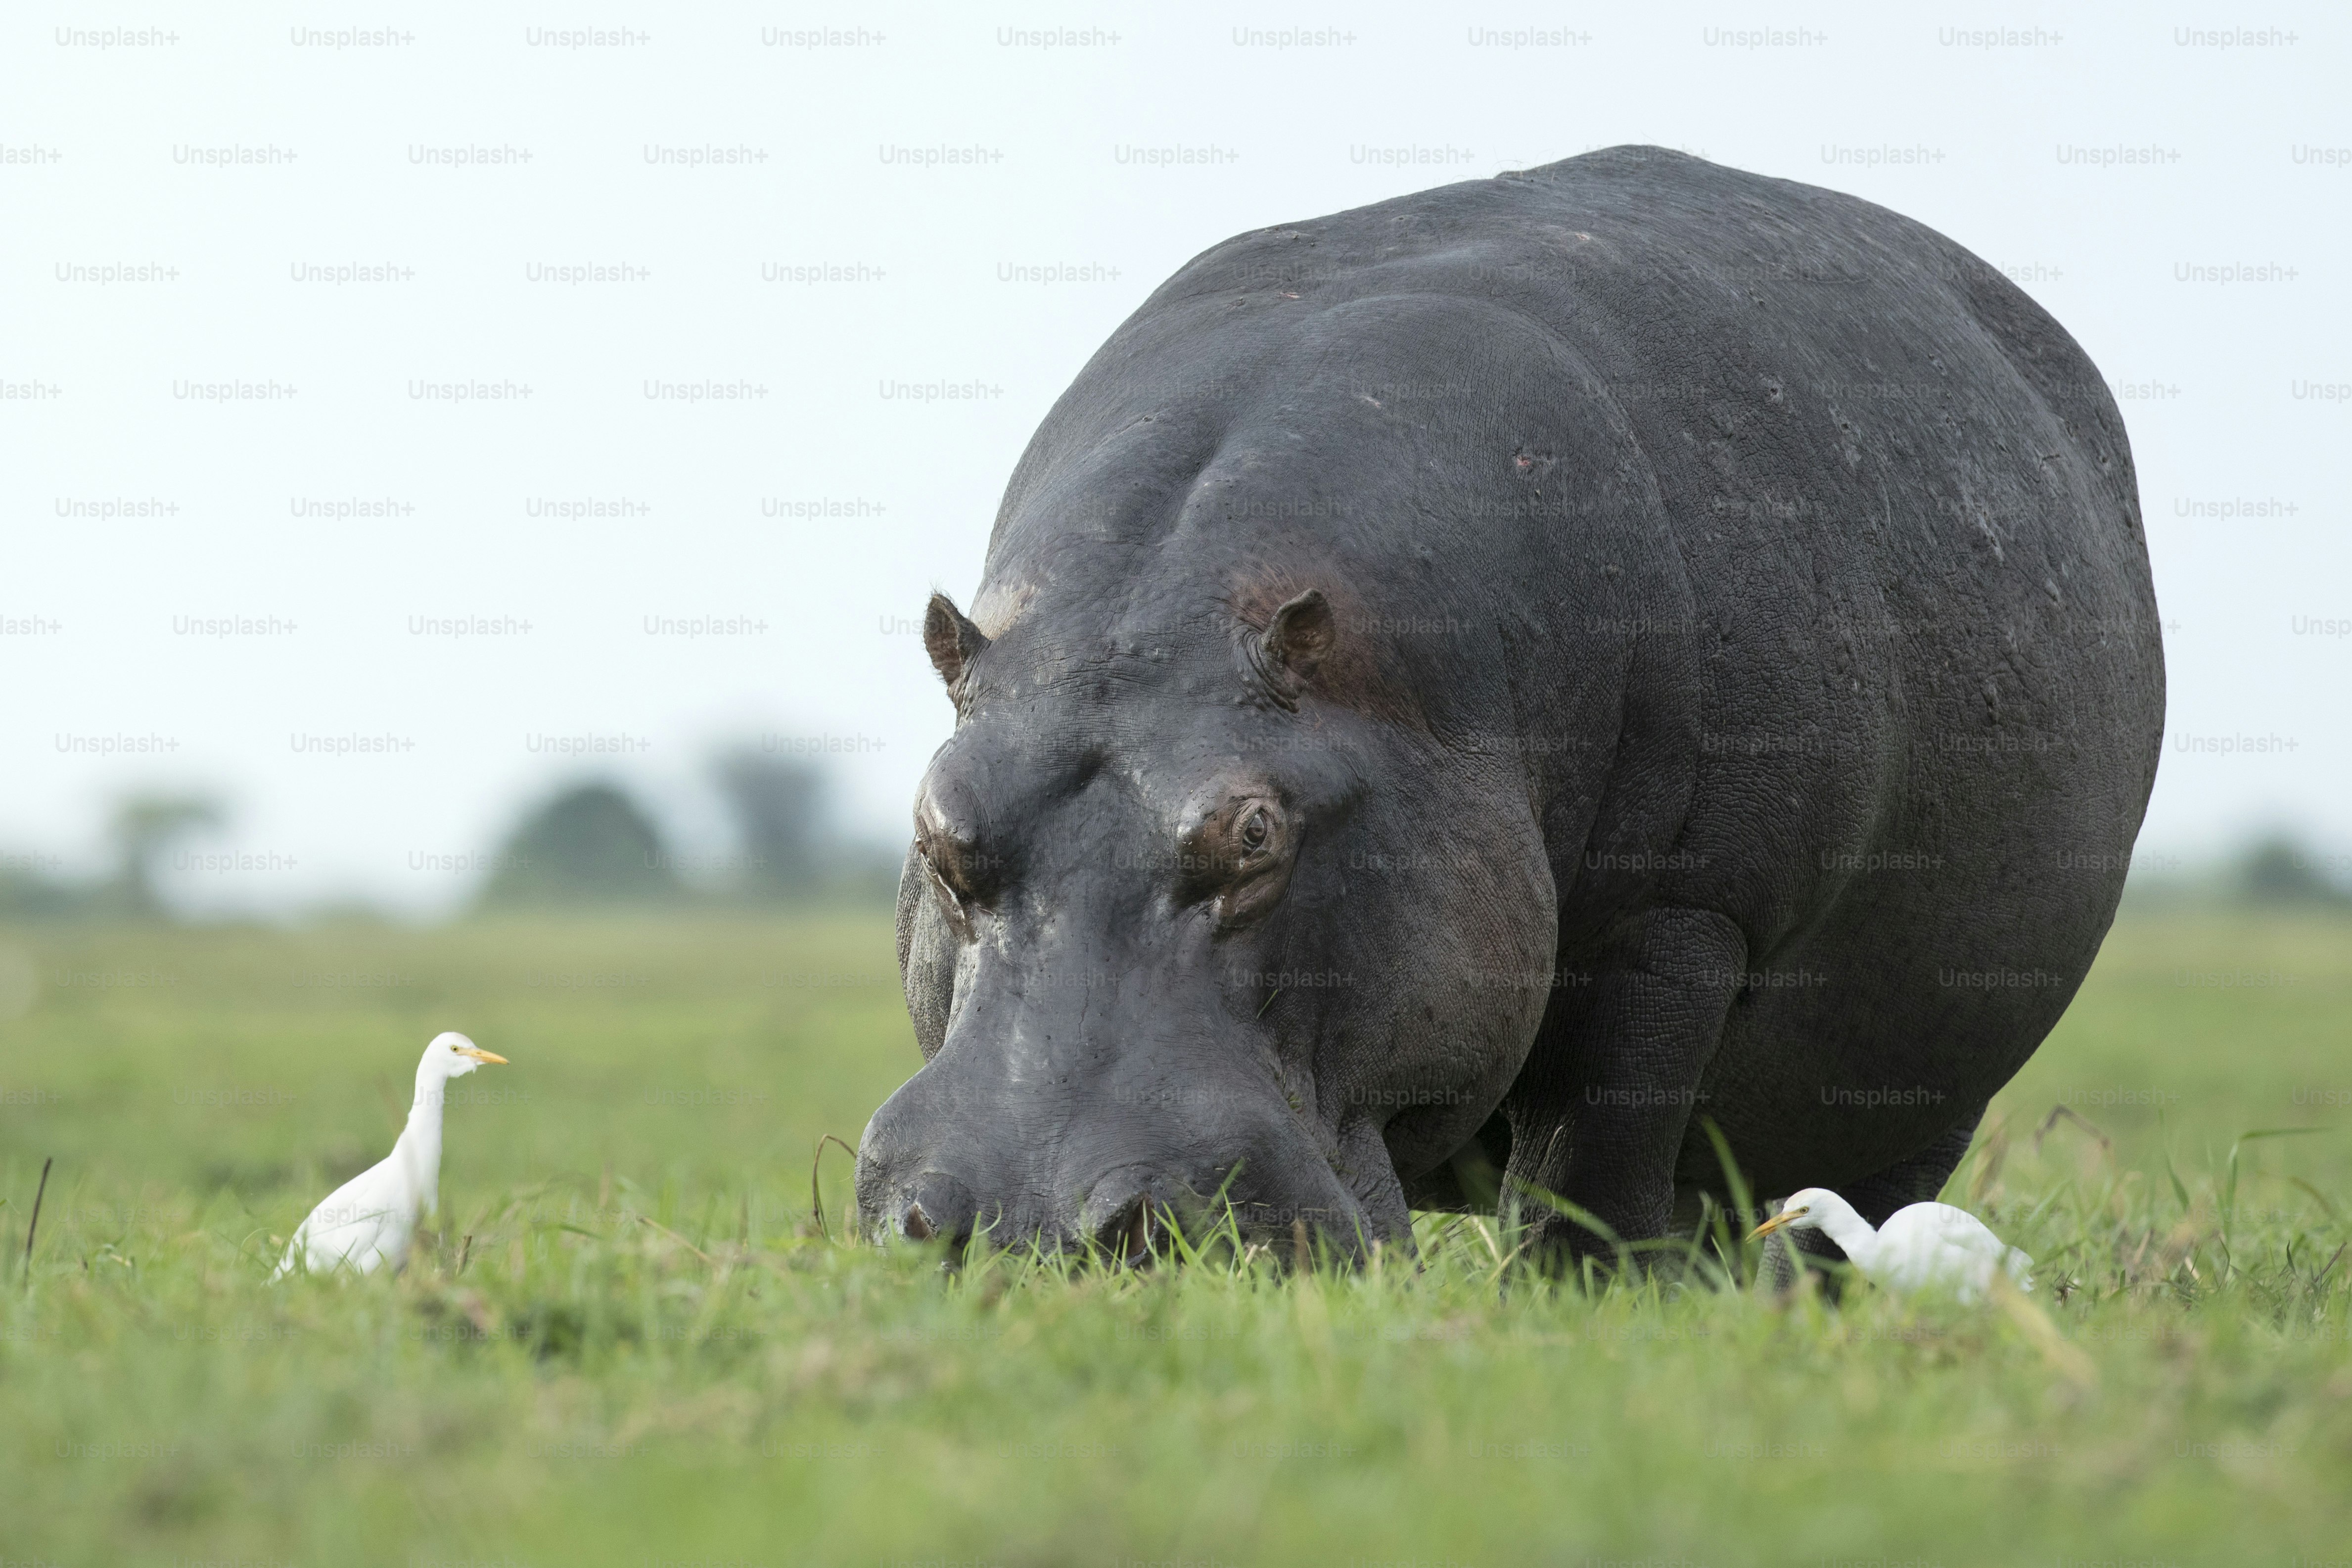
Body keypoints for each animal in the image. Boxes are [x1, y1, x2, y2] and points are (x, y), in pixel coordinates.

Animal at [851, 147, 2164, 1269]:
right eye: (938, 825)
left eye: (1257, 832)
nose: (1031, 1226)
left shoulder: (1684, 911)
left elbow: (1590, 1159)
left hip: (1923, 1083)